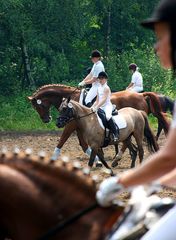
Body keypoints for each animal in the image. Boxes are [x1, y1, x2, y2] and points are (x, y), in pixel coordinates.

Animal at [27, 84, 169, 161]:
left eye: (38, 106)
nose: (46, 119)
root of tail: (141, 95)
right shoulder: (80, 127)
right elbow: (83, 144)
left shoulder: (71, 125)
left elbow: (65, 141)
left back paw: (119, 156)